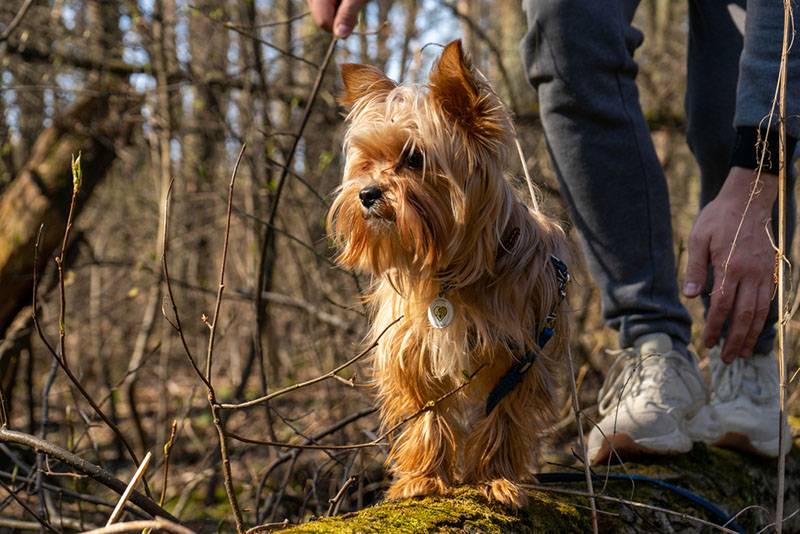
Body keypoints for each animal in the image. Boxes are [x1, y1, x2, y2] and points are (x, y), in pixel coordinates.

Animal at [326, 39, 568, 508]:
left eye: (414, 158)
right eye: (368, 161)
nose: (366, 194)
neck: (450, 273)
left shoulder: (519, 355)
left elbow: (503, 417)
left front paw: (496, 478)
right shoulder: (412, 348)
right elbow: (429, 412)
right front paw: (423, 477)